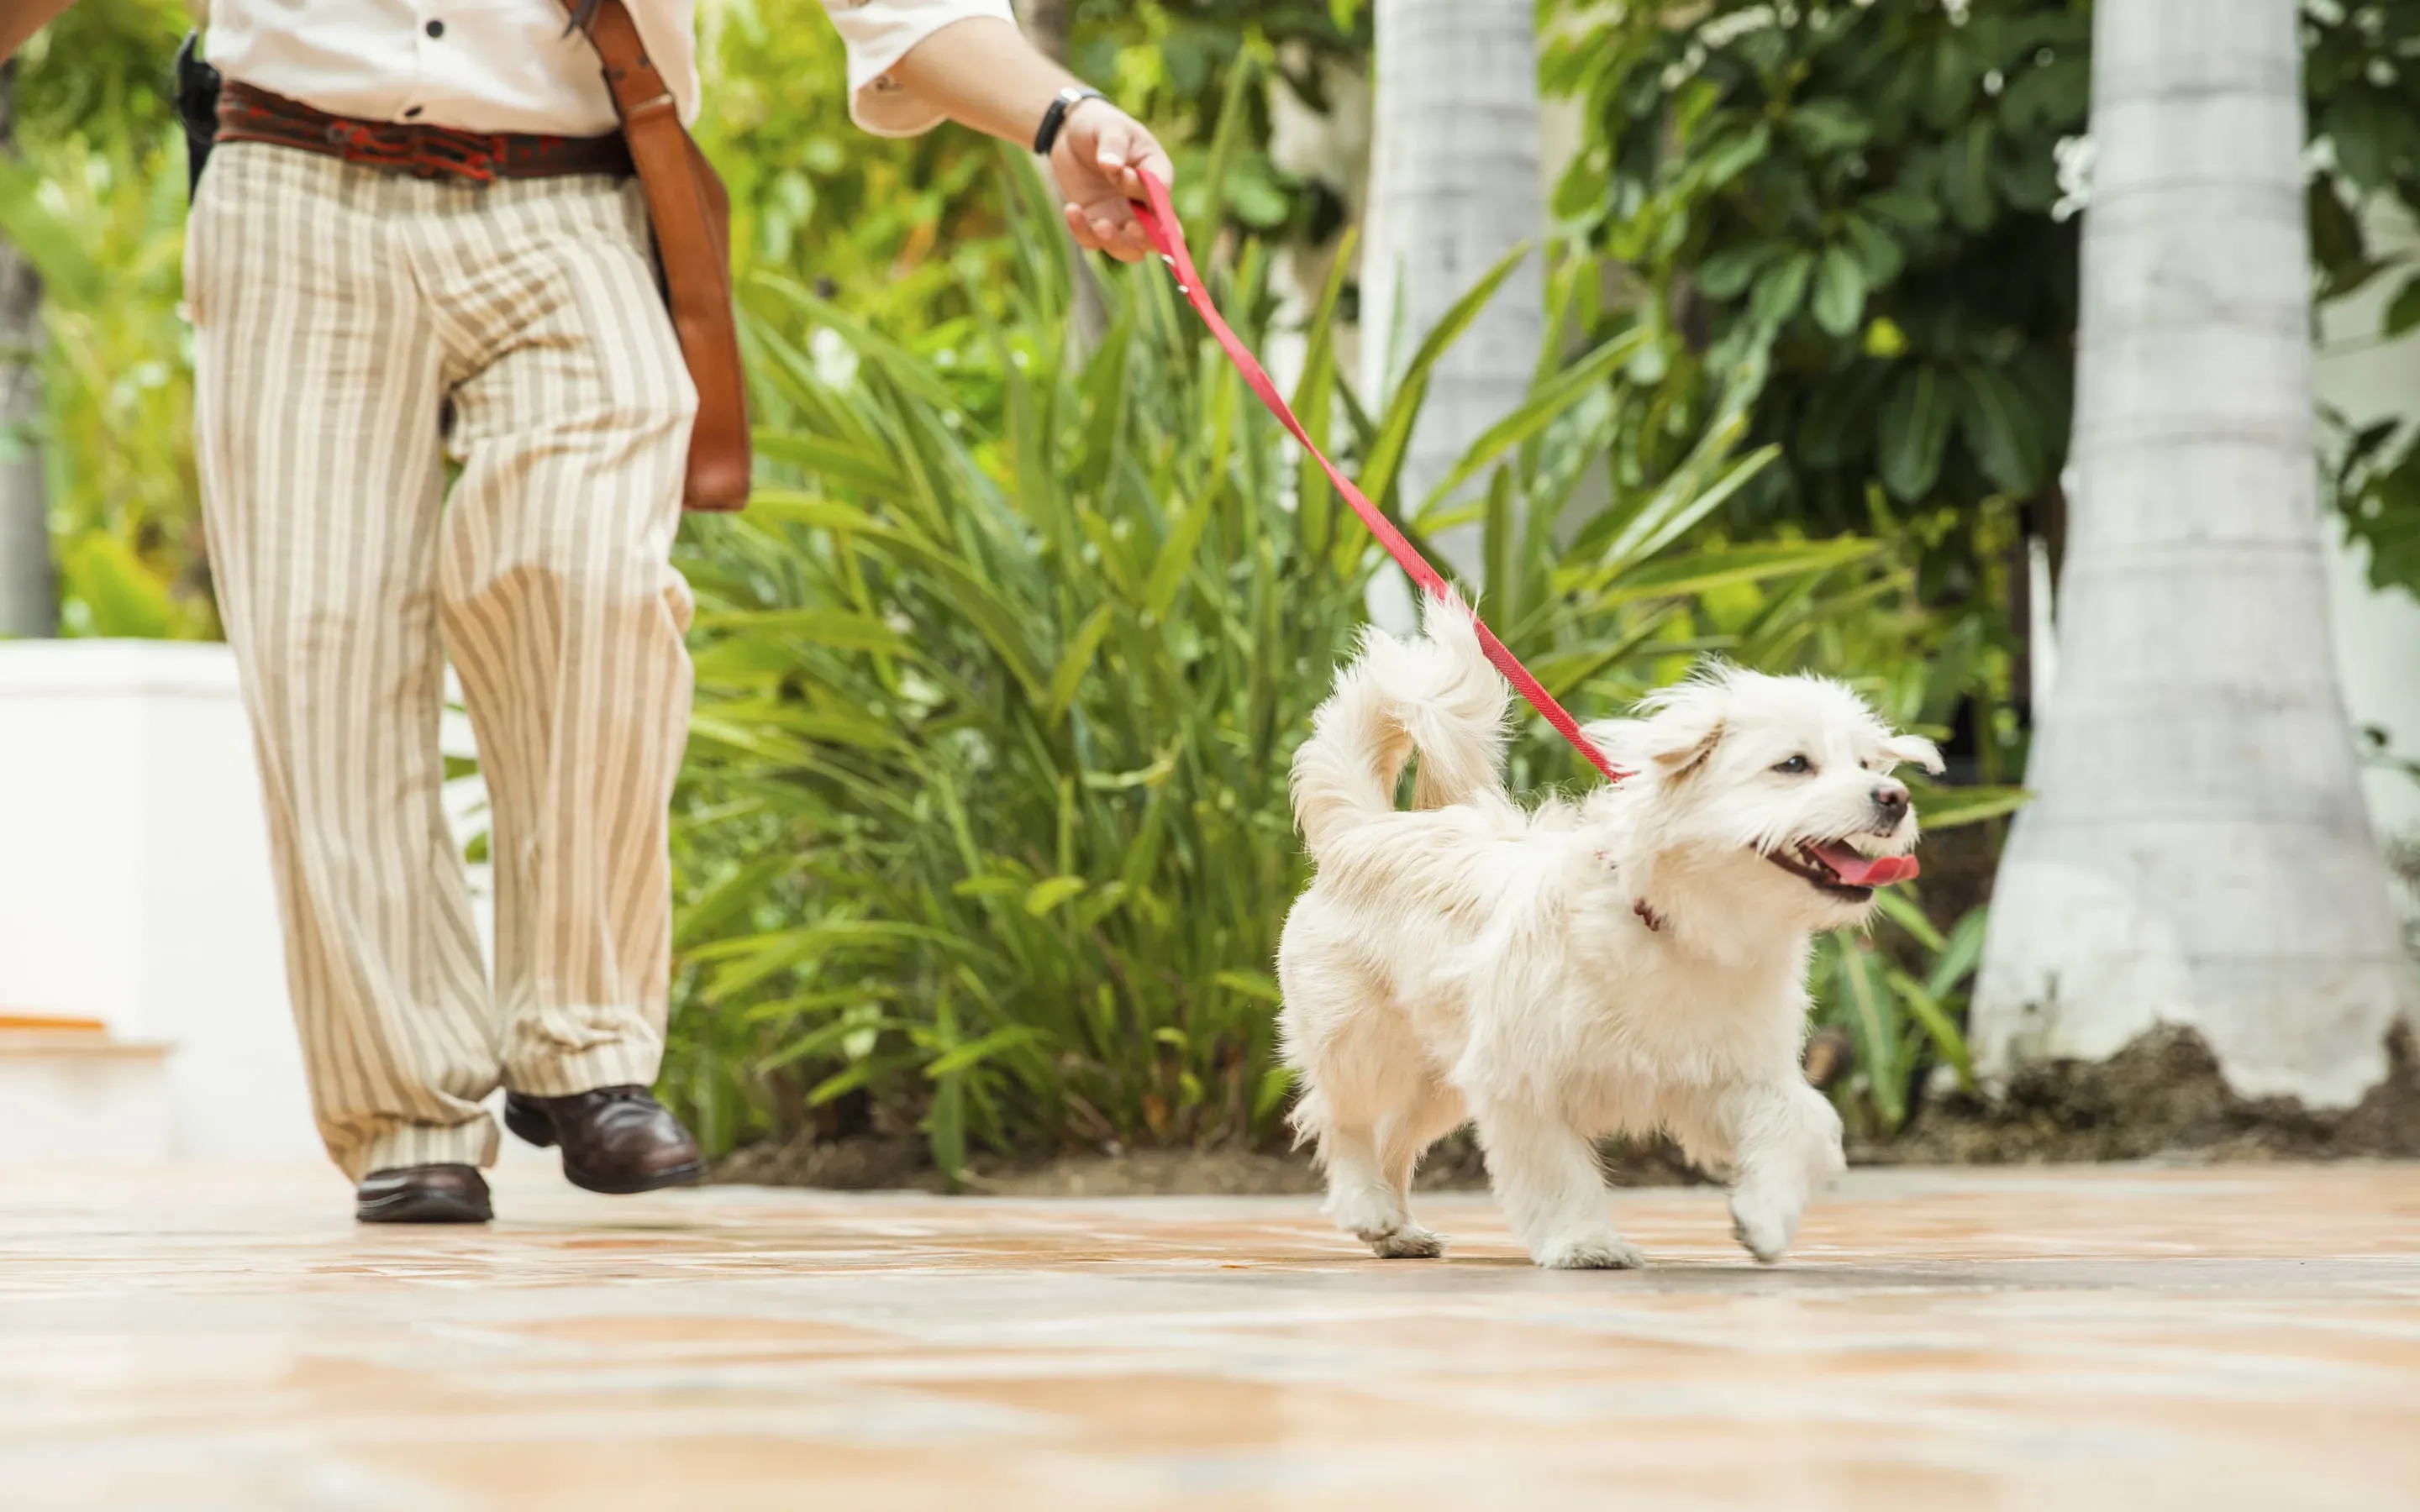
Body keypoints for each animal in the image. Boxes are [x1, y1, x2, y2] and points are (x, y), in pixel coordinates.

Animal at [1277, 595, 1936, 1268]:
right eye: (1794, 765)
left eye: (1866, 763)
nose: (1894, 797)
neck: (1677, 927)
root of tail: (1362, 831)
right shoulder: (1522, 1079)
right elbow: (1557, 1171)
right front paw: (1585, 1241)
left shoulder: (1727, 1074)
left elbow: (1802, 1123)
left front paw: (1766, 1218)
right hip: (1363, 1046)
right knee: (1343, 1118)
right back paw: (1369, 1206)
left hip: (1440, 1077)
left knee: (1395, 1133)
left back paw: (1398, 1230)